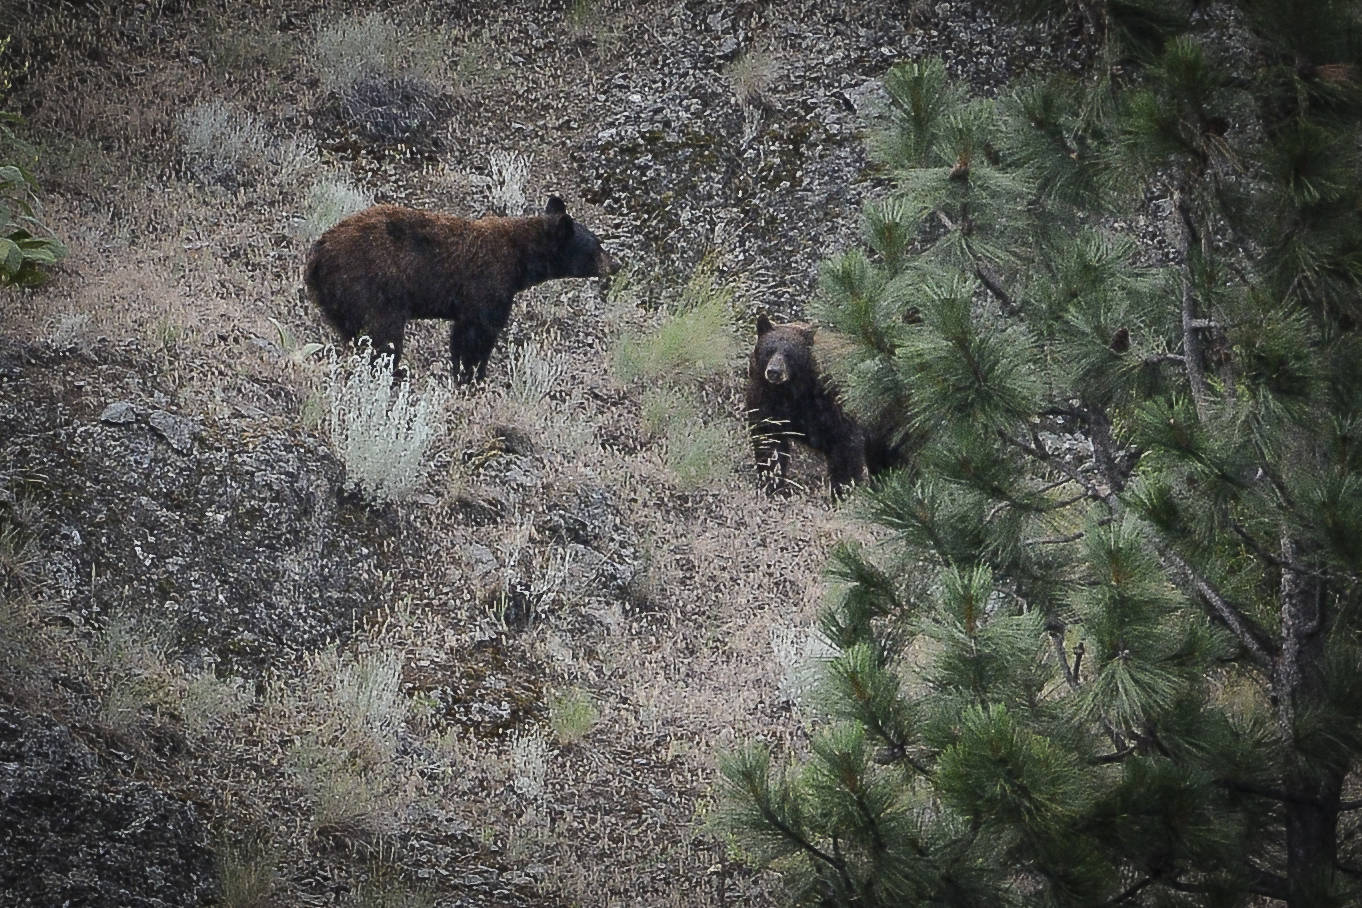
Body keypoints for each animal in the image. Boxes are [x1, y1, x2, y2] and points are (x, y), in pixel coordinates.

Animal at [303, 197, 618, 381]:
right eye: (597, 246)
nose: (615, 265)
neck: (521, 257)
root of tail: (318, 254)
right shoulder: (488, 282)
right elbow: (477, 333)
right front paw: (473, 376)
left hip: (340, 297)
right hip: (371, 284)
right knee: (384, 335)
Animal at [746, 314, 904, 498]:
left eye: (789, 353)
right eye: (769, 350)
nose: (774, 372)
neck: (794, 390)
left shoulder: (834, 401)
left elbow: (845, 446)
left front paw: (842, 491)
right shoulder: (766, 397)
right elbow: (769, 441)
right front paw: (770, 486)